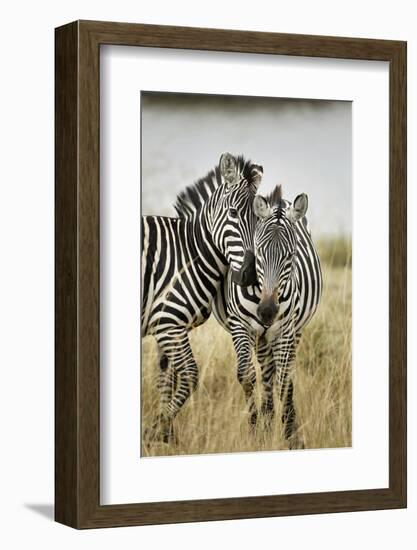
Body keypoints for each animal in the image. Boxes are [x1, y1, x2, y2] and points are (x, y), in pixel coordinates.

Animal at [141, 152, 262, 444]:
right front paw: (156, 431)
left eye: (260, 219)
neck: (189, 252)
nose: (250, 275)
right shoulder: (169, 323)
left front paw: (165, 436)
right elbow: (189, 376)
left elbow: (166, 377)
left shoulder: (168, 326)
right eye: (233, 213)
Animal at [211, 184, 322, 448]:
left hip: (294, 331)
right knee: (266, 373)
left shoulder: (285, 330)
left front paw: (291, 436)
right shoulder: (241, 326)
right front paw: (255, 431)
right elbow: (247, 375)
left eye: (291, 255)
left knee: (280, 373)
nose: (267, 311)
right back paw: (267, 420)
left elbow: (284, 380)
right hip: (261, 336)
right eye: (259, 253)